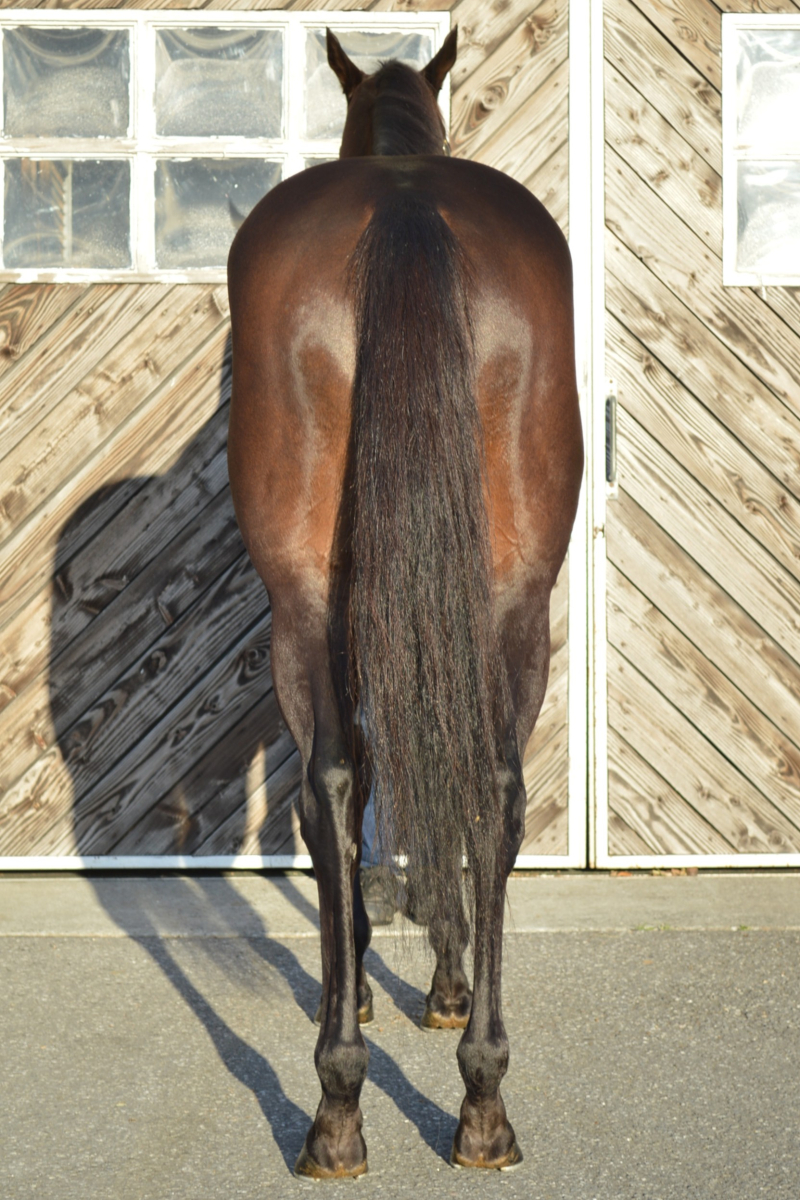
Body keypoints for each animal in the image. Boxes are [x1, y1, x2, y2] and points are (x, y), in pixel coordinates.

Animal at [226, 27, 583, 1178]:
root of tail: (405, 209)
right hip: (513, 600)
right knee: (488, 786)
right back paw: (474, 1103)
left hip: (305, 607)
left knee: (341, 786)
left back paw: (345, 1104)